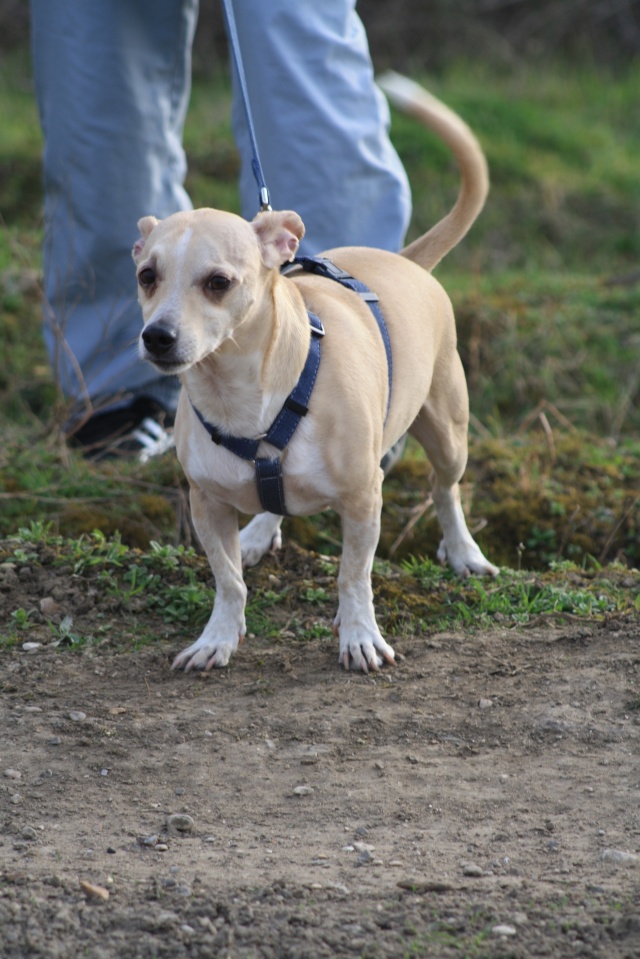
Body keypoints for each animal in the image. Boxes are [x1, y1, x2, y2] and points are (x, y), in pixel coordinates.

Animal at [131, 73, 500, 676]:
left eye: (218, 282)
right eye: (146, 275)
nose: (156, 337)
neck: (243, 398)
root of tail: (407, 261)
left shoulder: (363, 498)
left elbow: (354, 576)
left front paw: (360, 636)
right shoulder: (206, 502)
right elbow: (228, 580)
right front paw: (218, 637)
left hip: (448, 432)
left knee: (444, 489)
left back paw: (464, 552)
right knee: (278, 506)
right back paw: (260, 532)